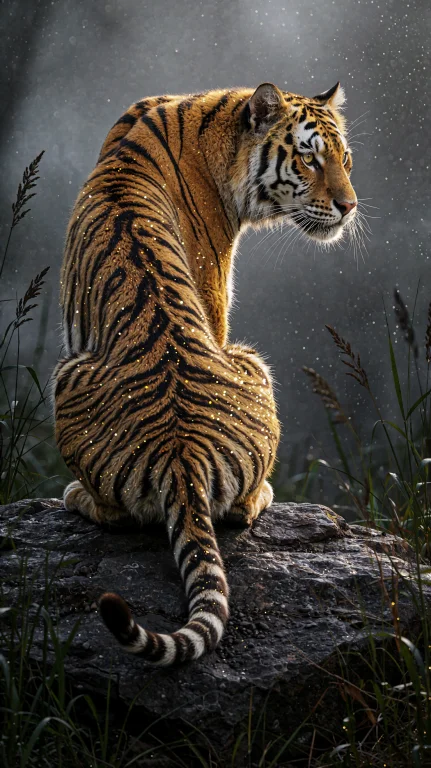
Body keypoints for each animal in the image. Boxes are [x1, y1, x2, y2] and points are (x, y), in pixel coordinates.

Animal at [54, 81, 357, 666]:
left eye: (345, 158)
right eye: (309, 158)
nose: (349, 207)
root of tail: (181, 455)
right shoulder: (215, 299)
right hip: (246, 359)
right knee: (214, 511)